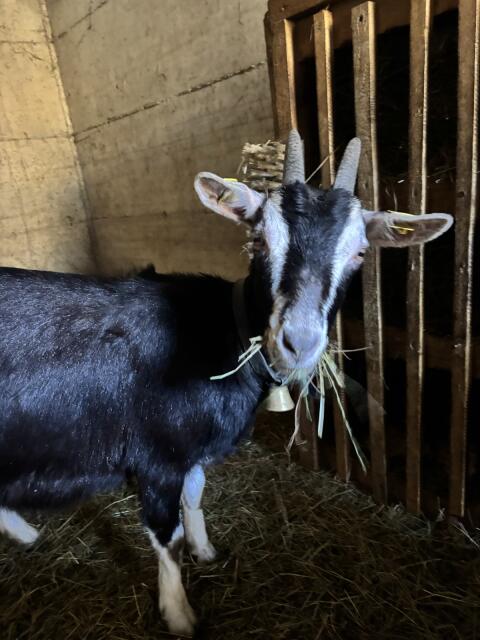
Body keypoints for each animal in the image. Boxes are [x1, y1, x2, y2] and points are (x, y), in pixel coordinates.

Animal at [0, 132, 452, 636]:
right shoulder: (157, 456)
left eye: (359, 253)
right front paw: (179, 615)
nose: (299, 342)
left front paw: (206, 550)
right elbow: (168, 535)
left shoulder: (192, 450)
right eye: (258, 240)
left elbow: (195, 496)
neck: (219, 333)